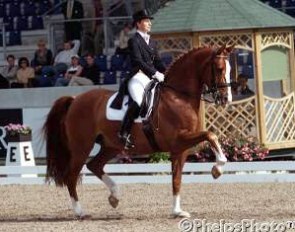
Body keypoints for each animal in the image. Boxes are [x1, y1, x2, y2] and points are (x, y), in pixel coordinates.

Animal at [44, 44, 234, 218]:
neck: (178, 97)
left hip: (111, 146)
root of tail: (75, 99)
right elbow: (211, 135)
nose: (226, 99)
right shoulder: (179, 139)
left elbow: (177, 179)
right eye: (219, 69)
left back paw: (114, 196)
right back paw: (80, 212)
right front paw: (217, 169)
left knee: (94, 165)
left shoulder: (180, 148)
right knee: (71, 175)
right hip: (81, 146)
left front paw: (177, 211)